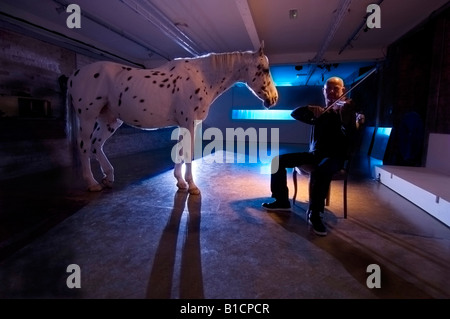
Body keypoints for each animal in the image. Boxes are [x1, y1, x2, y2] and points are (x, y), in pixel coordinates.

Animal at [67, 44, 278, 195]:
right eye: (265, 69)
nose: (274, 99)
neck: (203, 76)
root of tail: (74, 75)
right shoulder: (189, 123)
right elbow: (188, 152)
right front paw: (192, 186)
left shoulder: (185, 124)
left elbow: (180, 151)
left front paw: (181, 182)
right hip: (88, 118)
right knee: (84, 146)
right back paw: (92, 183)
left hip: (110, 120)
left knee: (96, 145)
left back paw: (108, 177)